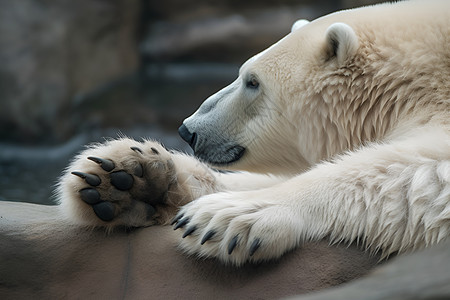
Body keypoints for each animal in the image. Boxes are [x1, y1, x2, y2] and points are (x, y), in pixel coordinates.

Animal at [58, 0, 448, 264]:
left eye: (252, 82)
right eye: (245, 74)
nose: (187, 130)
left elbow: (424, 172)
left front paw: (226, 217)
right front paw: (126, 178)